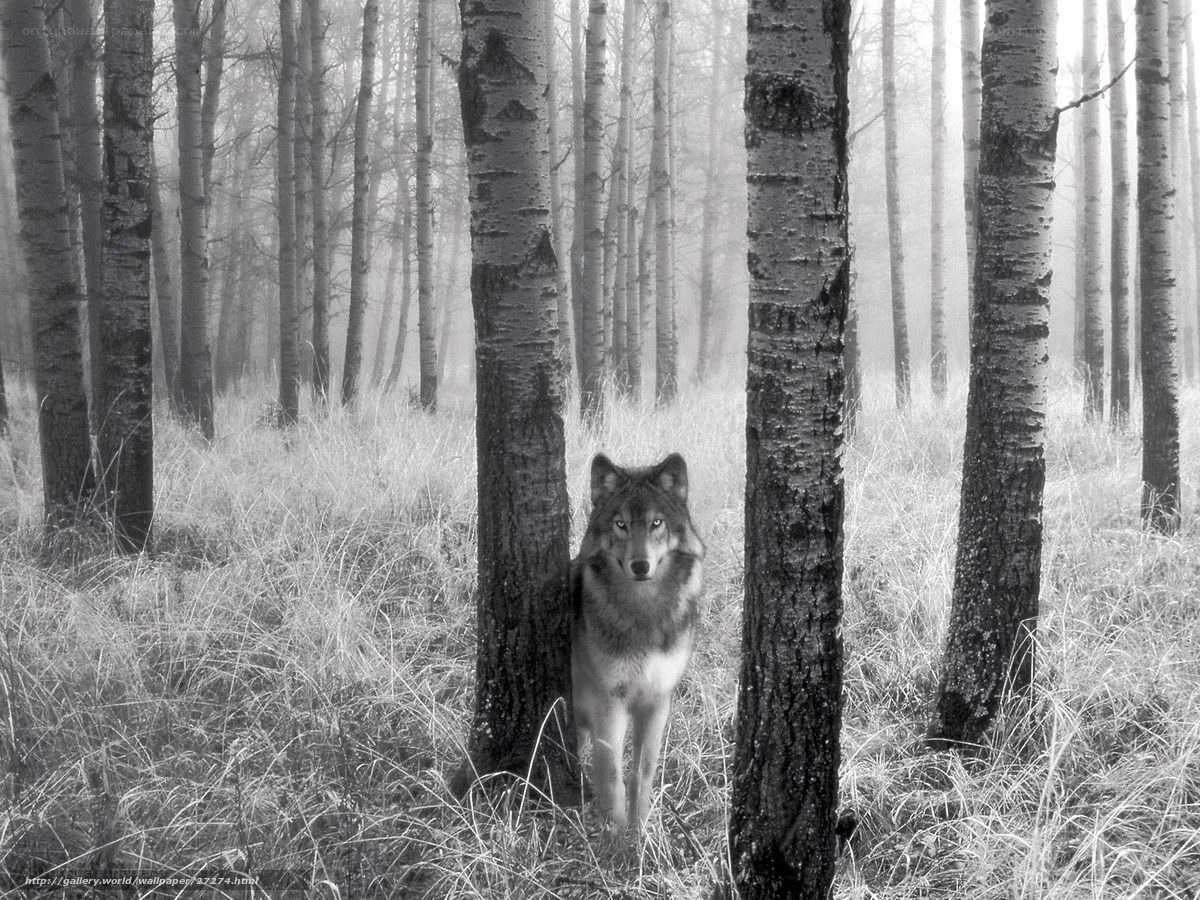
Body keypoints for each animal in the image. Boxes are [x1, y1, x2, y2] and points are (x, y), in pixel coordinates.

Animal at [571, 452, 705, 829]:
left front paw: (641, 829)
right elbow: (611, 774)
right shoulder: (609, 701)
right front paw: (615, 836)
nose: (640, 565)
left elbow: (642, 773)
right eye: (621, 524)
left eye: (656, 523)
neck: (644, 610)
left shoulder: (657, 699)